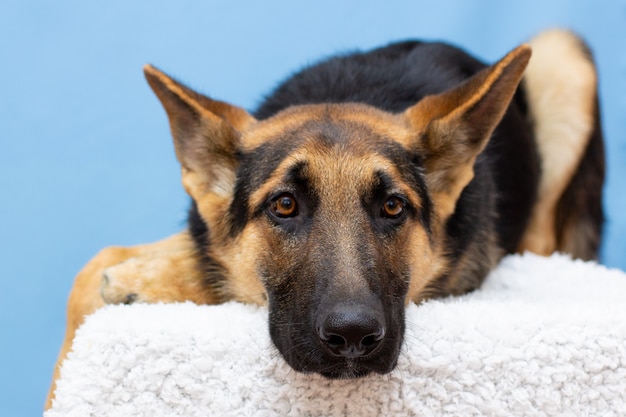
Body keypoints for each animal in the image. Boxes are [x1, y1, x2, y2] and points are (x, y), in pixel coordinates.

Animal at [44, 29, 600, 410]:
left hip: (564, 57)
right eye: (285, 205)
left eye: (392, 207)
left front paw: (155, 279)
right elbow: (95, 269)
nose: (352, 337)